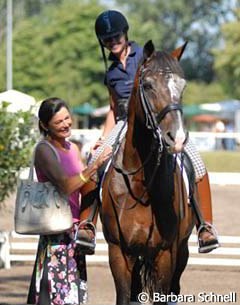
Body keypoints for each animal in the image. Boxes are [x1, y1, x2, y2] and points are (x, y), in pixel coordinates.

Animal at [99, 41, 195, 304]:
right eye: (149, 85)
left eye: (182, 86)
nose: (177, 138)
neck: (141, 183)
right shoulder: (119, 253)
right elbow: (124, 297)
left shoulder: (165, 254)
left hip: (181, 252)